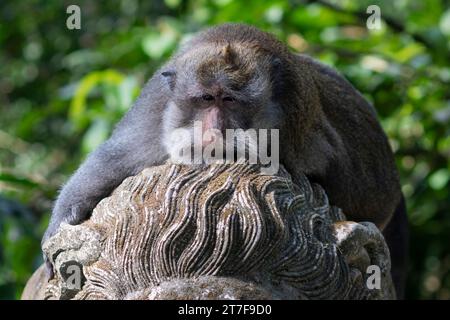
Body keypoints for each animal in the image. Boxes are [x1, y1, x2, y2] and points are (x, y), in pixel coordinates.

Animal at [43, 23, 408, 298]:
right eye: (206, 99)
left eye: (230, 100)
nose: (216, 130)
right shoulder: (157, 102)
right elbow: (120, 155)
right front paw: (63, 218)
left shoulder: (295, 123)